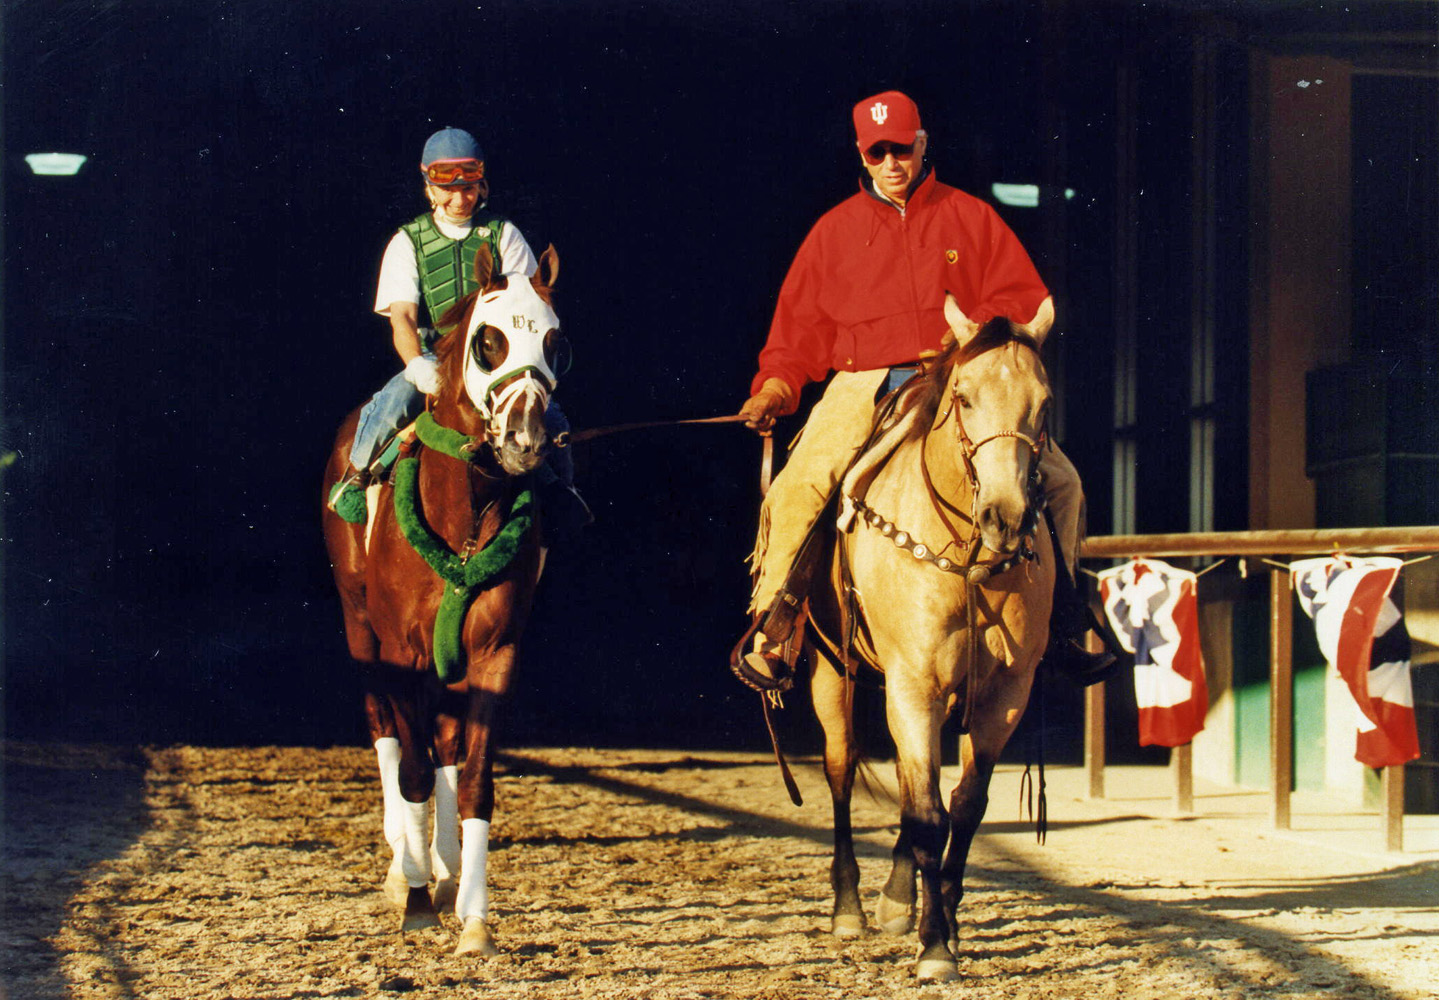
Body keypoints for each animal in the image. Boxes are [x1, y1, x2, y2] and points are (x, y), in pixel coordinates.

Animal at [323, 246, 564, 961]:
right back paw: (403, 866)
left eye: (555, 342)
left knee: (448, 745)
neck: (464, 514)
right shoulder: (400, 650)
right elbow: (413, 771)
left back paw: (446, 865)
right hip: (360, 626)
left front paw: (474, 915)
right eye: (489, 341)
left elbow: (475, 774)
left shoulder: (494, 652)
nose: (525, 439)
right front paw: (417, 901)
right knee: (386, 731)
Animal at [811, 293, 1059, 984]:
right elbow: (927, 814)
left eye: (1044, 402)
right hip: (833, 674)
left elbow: (964, 807)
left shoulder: (1003, 696)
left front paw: (942, 917)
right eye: (965, 397)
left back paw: (899, 898)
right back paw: (849, 908)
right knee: (842, 770)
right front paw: (935, 947)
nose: (1006, 517)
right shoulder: (912, 682)